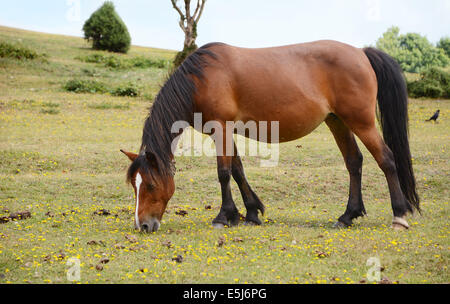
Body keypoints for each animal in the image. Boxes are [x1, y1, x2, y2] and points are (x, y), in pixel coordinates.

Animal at [119, 40, 418, 233]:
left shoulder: (221, 128)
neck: (200, 80)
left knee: (386, 159)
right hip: (338, 121)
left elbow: (224, 173)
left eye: (150, 185)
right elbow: (238, 170)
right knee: (354, 162)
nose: (143, 225)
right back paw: (347, 216)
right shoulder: (225, 131)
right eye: (134, 185)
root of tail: (361, 53)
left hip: (361, 121)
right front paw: (250, 213)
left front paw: (224, 216)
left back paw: (399, 216)